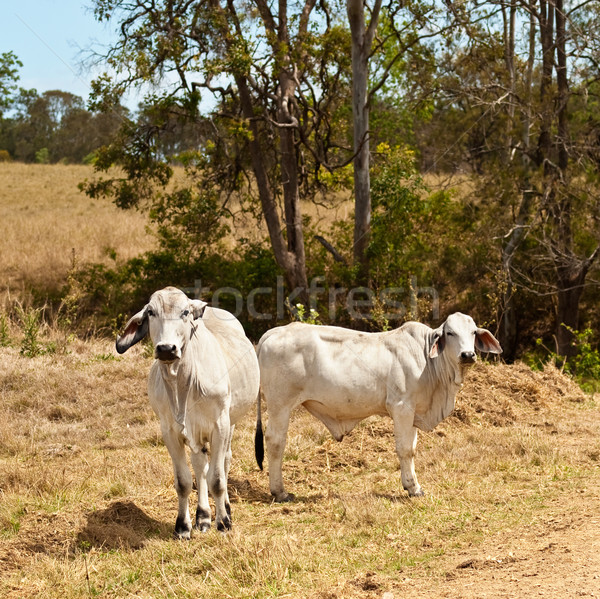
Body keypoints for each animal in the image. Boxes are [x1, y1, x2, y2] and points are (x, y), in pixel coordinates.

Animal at [116, 288, 258, 536]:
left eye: (185, 312)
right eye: (151, 312)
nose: (166, 348)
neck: (183, 385)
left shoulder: (220, 425)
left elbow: (217, 479)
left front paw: (224, 522)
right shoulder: (170, 432)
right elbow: (184, 481)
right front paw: (183, 525)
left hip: (230, 422)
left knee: (224, 461)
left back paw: (225, 508)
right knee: (200, 465)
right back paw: (203, 516)